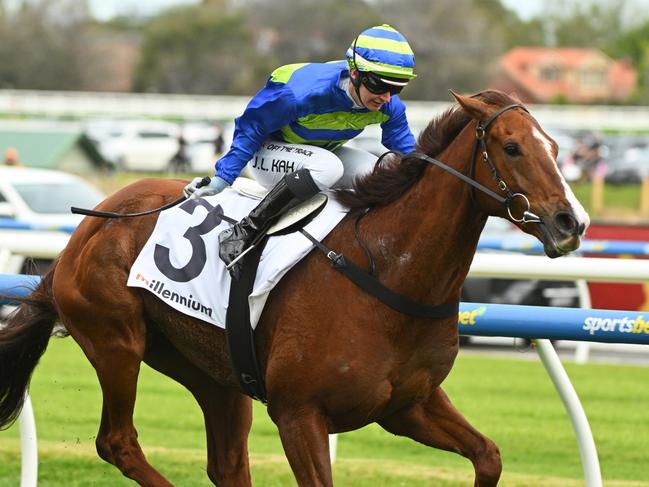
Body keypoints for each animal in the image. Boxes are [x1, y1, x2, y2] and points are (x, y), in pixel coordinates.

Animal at [0, 90, 588, 484]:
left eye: (556, 147)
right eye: (511, 148)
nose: (571, 222)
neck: (386, 273)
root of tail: (91, 225)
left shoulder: (409, 405)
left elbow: (489, 455)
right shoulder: (299, 415)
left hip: (212, 371)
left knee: (226, 464)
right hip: (115, 340)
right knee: (118, 442)